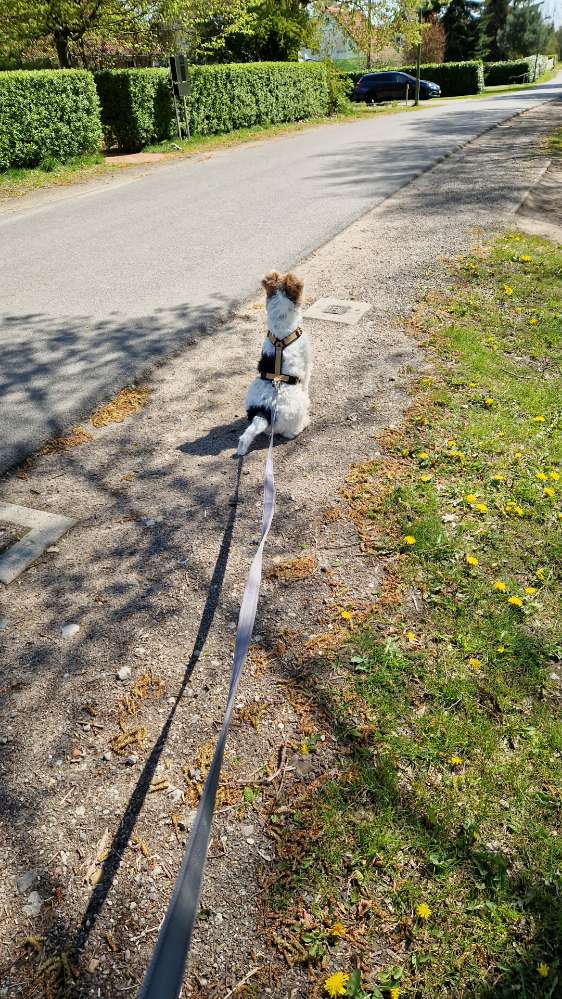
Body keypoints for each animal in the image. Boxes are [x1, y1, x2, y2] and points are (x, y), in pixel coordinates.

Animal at [235, 270, 312, 458]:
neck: (281, 330)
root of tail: (264, 411)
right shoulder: (308, 362)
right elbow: (307, 381)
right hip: (297, 409)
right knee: (289, 432)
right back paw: (304, 423)